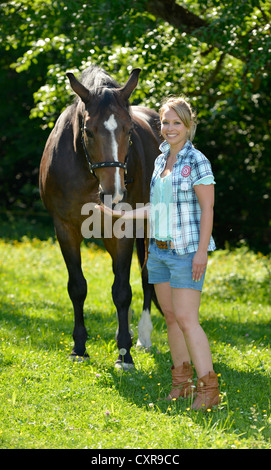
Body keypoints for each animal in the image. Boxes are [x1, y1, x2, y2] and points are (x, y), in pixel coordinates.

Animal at [39, 64, 163, 370]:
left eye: (129, 130)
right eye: (88, 130)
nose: (114, 193)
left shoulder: (122, 229)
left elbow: (122, 291)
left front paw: (124, 354)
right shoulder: (65, 229)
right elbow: (77, 287)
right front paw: (79, 348)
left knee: (146, 276)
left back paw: (142, 336)